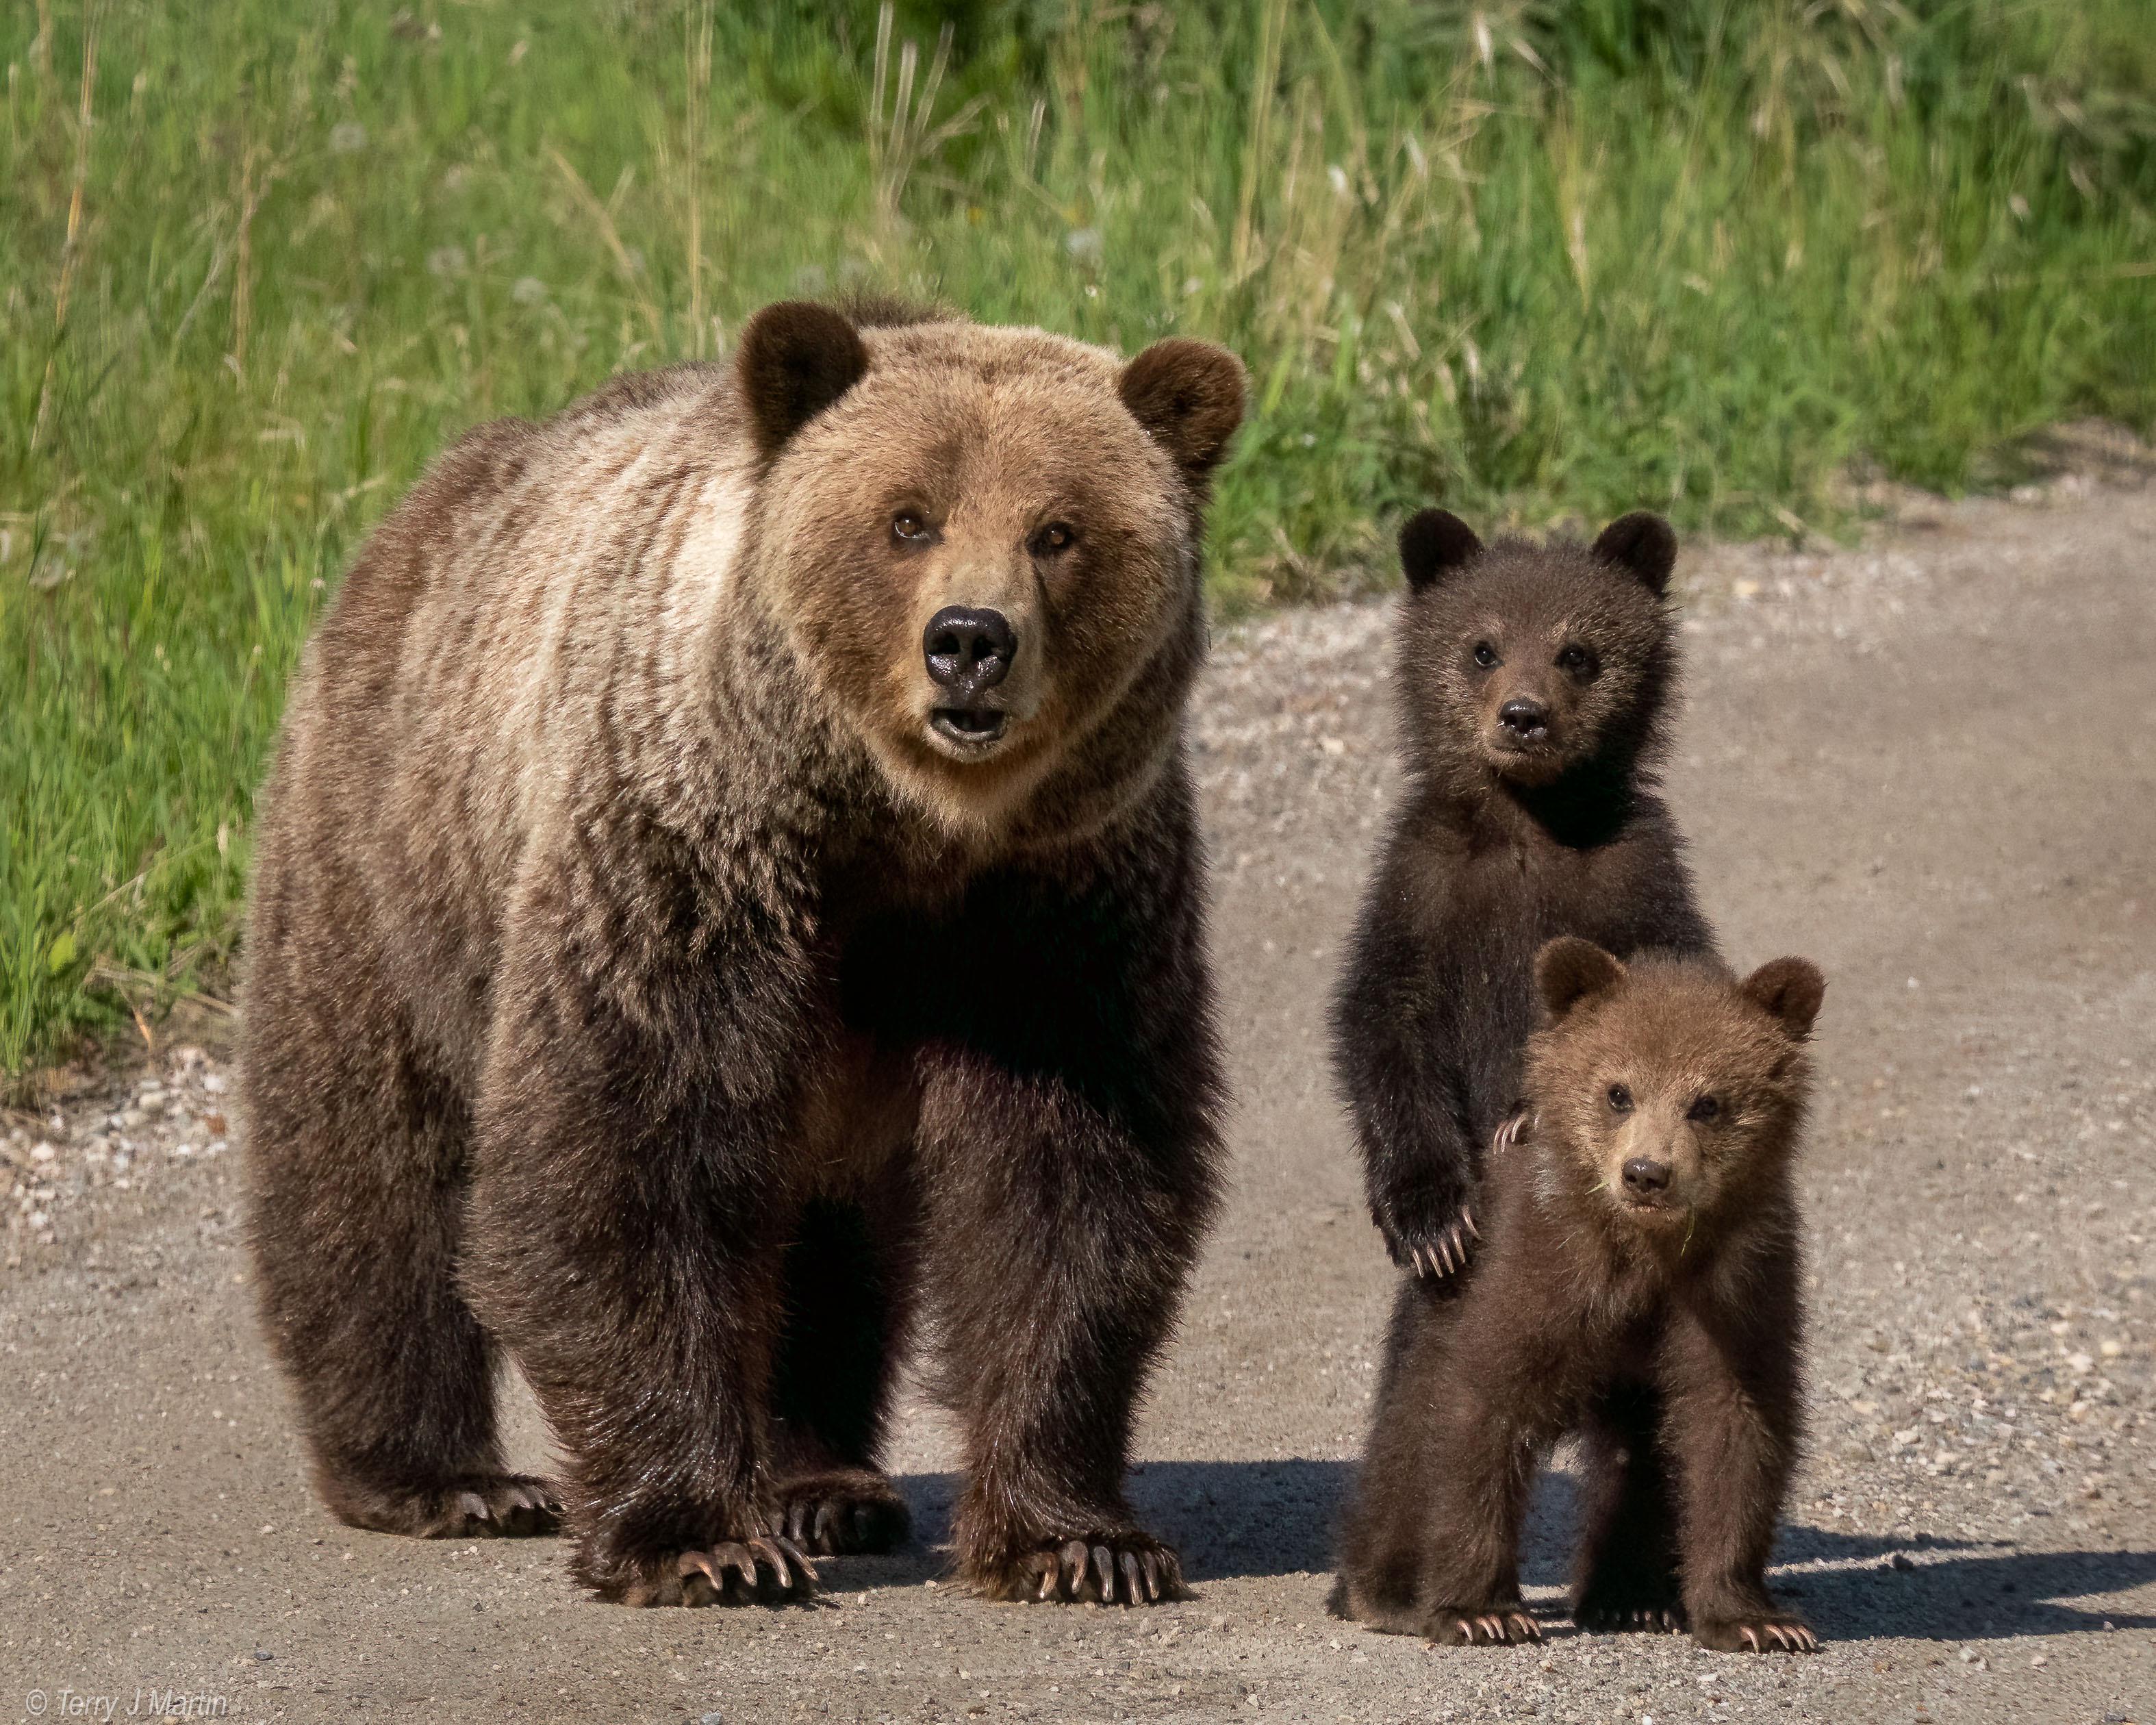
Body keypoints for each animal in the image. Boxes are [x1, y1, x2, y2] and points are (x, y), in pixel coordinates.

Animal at [239, 296, 1246, 1608]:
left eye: (1058, 530)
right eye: (906, 518)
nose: (969, 641)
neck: (900, 829)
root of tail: (416, 508)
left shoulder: (1055, 910)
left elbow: (1070, 1182)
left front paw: (1077, 1538)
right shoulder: (689, 864)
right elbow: (622, 1155)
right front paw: (700, 1538)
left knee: (819, 1233)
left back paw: (824, 1481)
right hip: (394, 854)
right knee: (369, 1156)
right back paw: (441, 1474)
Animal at [1330, 507, 1715, 1285]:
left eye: (1576, 651)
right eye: (1483, 647)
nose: (1522, 714)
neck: (1528, 826)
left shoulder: (1636, 875)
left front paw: (1528, 1113)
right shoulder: (1421, 887)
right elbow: (1384, 1023)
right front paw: (1431, 1218)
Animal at [1331, 936, 1826, 1654]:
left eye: (1707, 1101)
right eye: (1618, 1090)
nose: (1646, 1173)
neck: (1645, 1253)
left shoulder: (1737, 1280)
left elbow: (1734, 1421)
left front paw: (1755, 1618)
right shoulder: (1544, 1264)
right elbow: (1480, 1406)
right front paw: (1480, 1609)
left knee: (1639, 1461)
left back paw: (1631, 1598)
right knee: (1405, 1436)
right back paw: (1382, 1591)